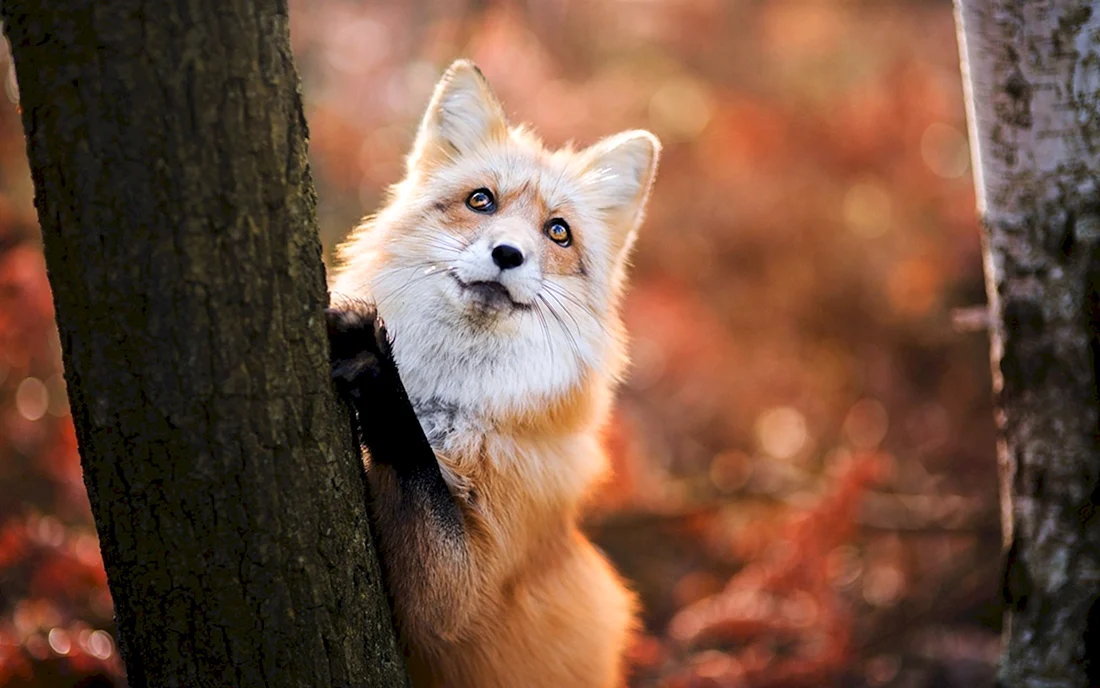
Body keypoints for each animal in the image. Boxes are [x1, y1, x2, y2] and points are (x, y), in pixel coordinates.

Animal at [325, 59, 660, 688]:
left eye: (558, 232)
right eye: (481, 200)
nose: (508, 254)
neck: (449, 408)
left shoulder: (462, 593)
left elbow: (416, 468)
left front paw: (375, 367)